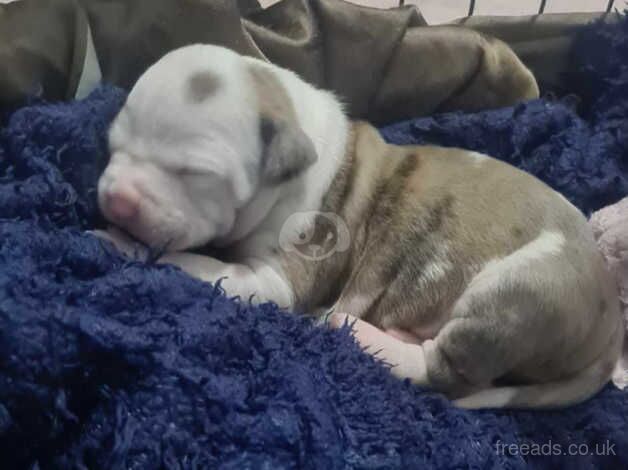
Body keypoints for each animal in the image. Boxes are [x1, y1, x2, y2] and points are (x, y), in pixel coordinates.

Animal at [98, 46, 624, 410]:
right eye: (112, 143)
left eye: (195, 173)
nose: (116, 199)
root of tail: (611, 327)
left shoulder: (277, 278)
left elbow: (194, 264)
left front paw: (122, 243)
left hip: (517, 293)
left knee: (445, 371)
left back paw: (361, 333)